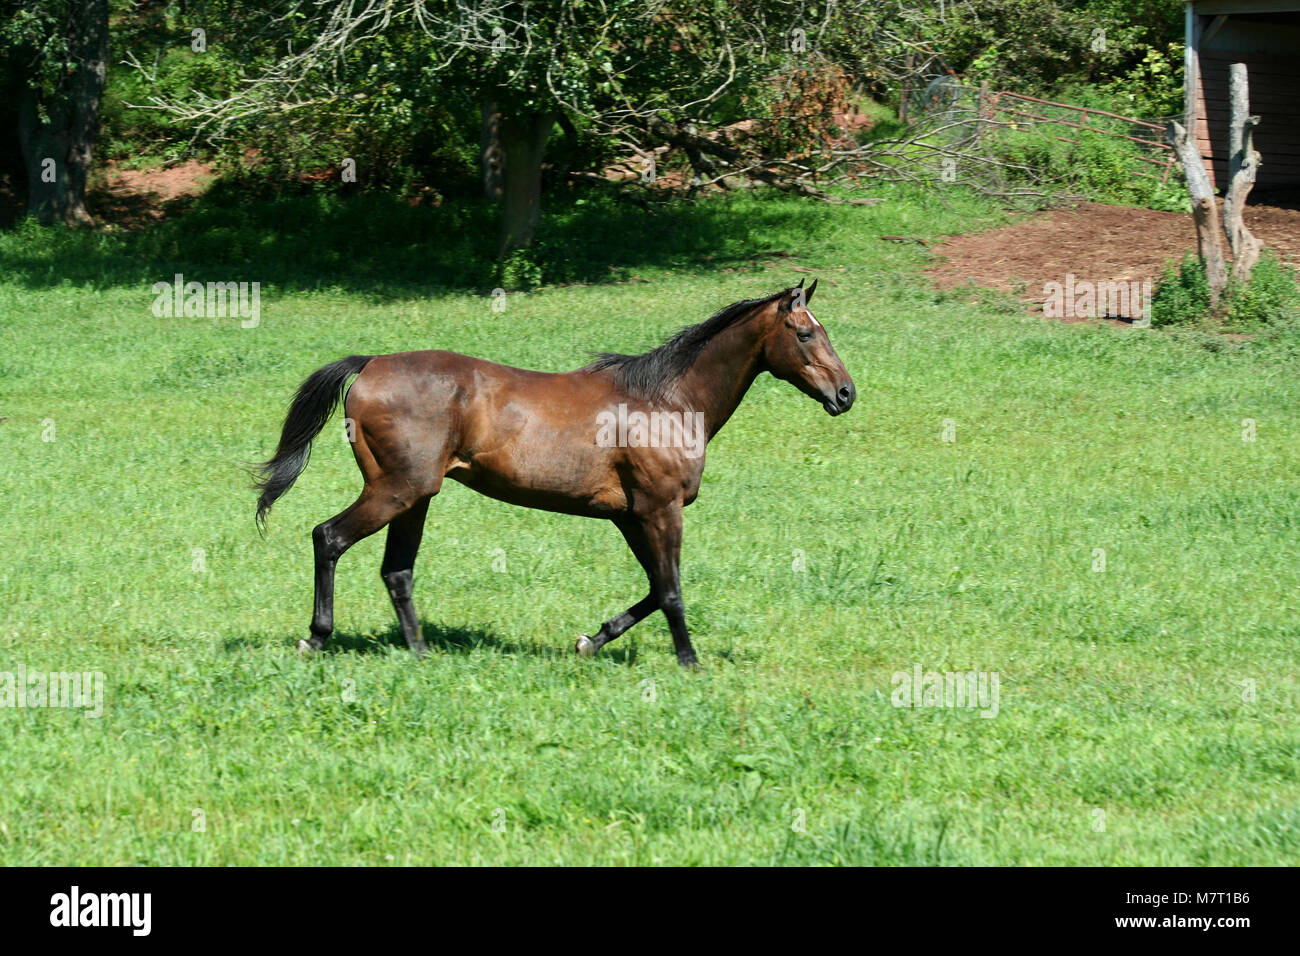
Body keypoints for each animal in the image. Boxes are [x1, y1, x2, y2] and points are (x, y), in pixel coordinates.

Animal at [253, 279, 854, 666]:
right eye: (805, 334)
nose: (846, 394)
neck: (667, 400)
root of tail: (370, 365)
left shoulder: (630, 516)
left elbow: (655, 587)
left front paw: (591, 641)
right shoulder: (660, 509)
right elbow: (672, 590)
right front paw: (689, 662)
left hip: (414, 497)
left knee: (397, 571)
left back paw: (421, 653)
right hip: (394, 491)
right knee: (328, 537)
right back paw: (316, 639)